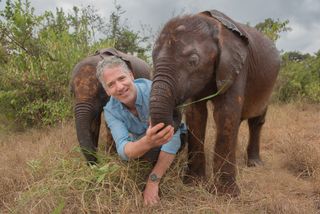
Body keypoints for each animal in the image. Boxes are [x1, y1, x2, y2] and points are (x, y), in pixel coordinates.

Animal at [149, 10, 278, 196]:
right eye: (152, 58)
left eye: (193, 61)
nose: (175, 111)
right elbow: (196, 114)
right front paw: (193, 183)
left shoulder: (238, 66)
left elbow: (225, 113)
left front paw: (226, 194)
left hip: (269, 86)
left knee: (256, 120)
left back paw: (254, 164)